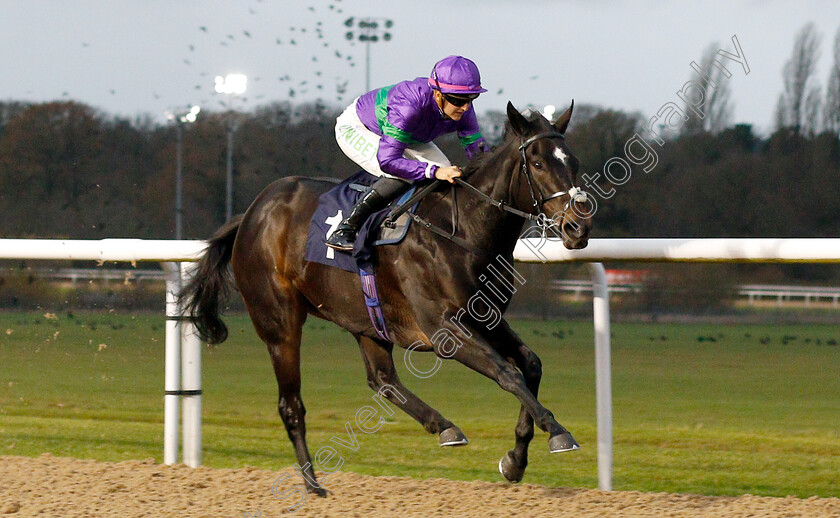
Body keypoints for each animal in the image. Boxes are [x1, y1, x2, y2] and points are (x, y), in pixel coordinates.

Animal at [181, 101, 592, 496]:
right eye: (537, 163)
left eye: (573, 161)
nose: (578, 227)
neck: (463, 231)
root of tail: (251, 214)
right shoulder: (445, 329)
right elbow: (508, 373)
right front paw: (558, 432)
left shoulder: (486, 318)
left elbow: (531, 365)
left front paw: (516, 459)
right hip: (279, 322)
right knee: (291, 405)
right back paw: (312, 484)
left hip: (365, 319)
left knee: (382, 379)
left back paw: (443, 426)